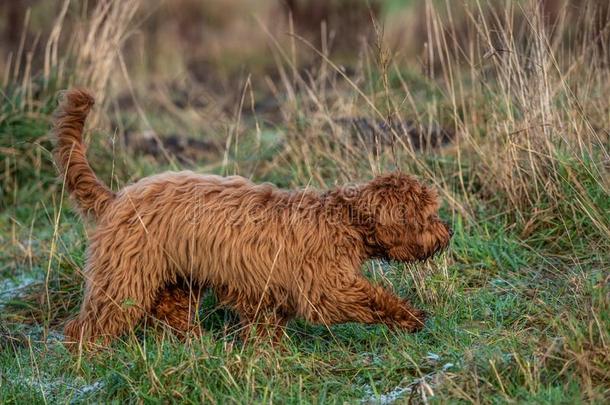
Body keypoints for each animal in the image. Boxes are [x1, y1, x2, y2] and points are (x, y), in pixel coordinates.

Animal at [53, 87, 452, 344]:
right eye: (428, 214)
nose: (447, 233)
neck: (343, 220)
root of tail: (118, 198)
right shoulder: (325, 286)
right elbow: (371, 298)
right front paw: (411, 316)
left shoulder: (268, 292)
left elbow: (266, 328)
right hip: (123, 278)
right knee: (91, 323)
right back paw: (88, 356)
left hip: (175, 276)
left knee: (172, 312)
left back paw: (196, 344)